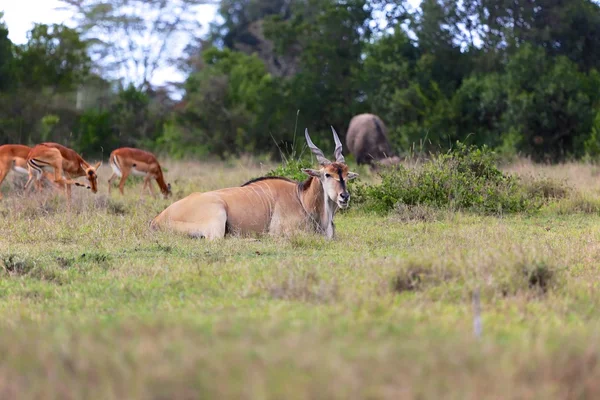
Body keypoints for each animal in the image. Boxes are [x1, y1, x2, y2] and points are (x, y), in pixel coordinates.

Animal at [151, 128, 356, 241]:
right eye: (327, 174)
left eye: (346, 174)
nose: (344, 197)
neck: (302, 198)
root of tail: (158, 218)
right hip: (217, 216)